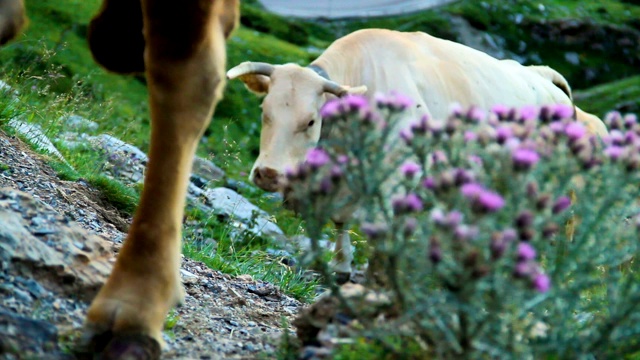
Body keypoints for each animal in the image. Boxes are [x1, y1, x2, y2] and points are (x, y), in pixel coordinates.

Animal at [228, 28, 608, 282]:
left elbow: (383, 228)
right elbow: (340, 221)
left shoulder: (396, 177)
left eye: (310, 121)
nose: (268, 174)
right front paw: (341, 266)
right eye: (264, 111)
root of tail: (539, 74)